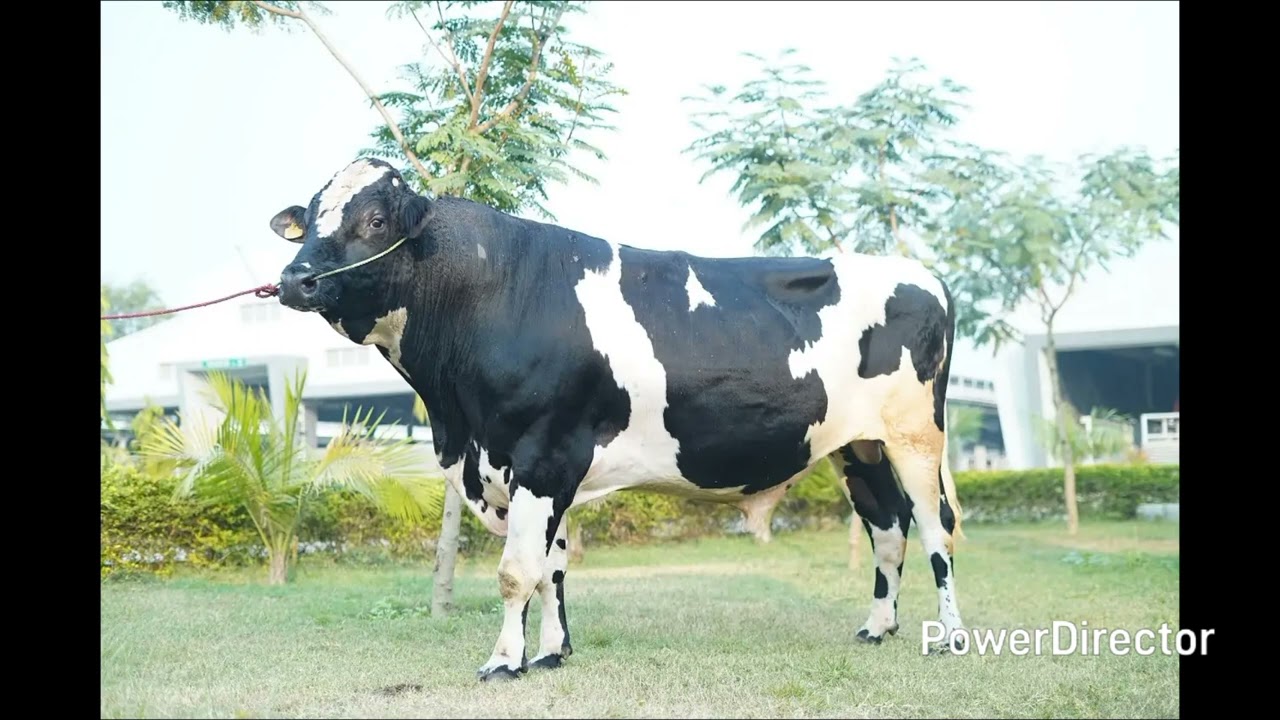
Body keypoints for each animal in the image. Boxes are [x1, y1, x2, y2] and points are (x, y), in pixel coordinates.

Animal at [267, 157, 968, 680]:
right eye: (309, 220)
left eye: (375, 218)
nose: (295, 280)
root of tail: (922, 273)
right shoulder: (534, 466)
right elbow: (551, 567)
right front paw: (551, 653)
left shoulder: (541, 454)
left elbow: (516, 571)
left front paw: (503, 661)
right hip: (860, 446)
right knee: (888, 529)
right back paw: (877, 627)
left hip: (916, 437)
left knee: (937, 532)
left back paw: (950, 639)